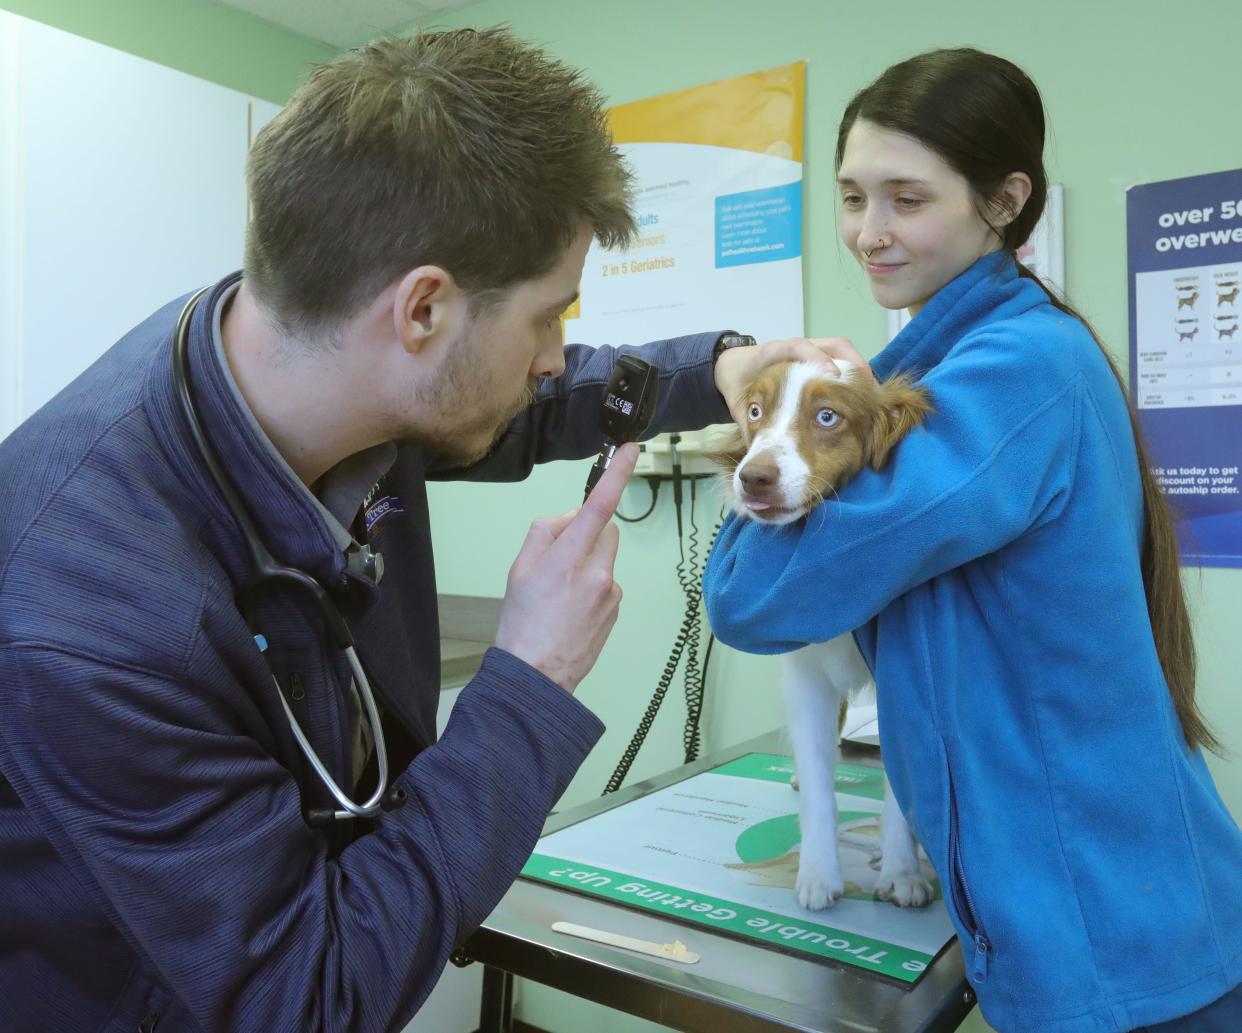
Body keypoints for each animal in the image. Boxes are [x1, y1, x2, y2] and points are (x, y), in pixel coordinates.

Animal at [720, 360, 933, 913]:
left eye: (827, 416)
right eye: (755, 410)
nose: (753, 478)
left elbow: (900, 783)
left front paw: (902, 871)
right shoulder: (806, 677)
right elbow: (819, 784)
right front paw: (818, 872)